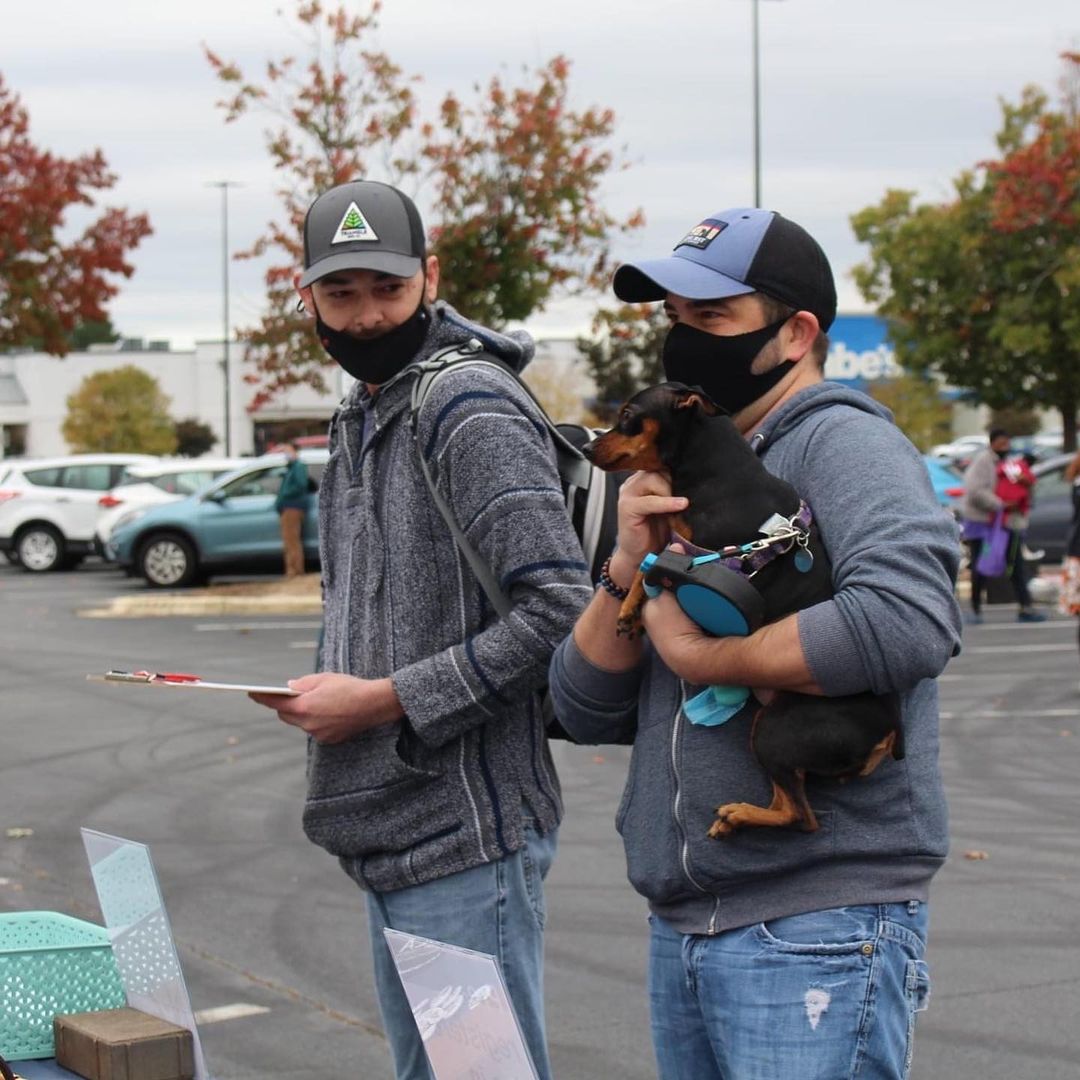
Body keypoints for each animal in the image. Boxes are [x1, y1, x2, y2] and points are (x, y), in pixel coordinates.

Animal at [583, 384, 902, 838]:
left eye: (628, 414)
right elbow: (649, 555)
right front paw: (630, 606)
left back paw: (739, 814)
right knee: (790, 803)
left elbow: (654, 564)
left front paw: (632, 607)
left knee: (801, 818)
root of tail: (890, 731)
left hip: (774, 730)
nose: (587, 447)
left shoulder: (706, 555)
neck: (715, 472)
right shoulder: (681, 539)